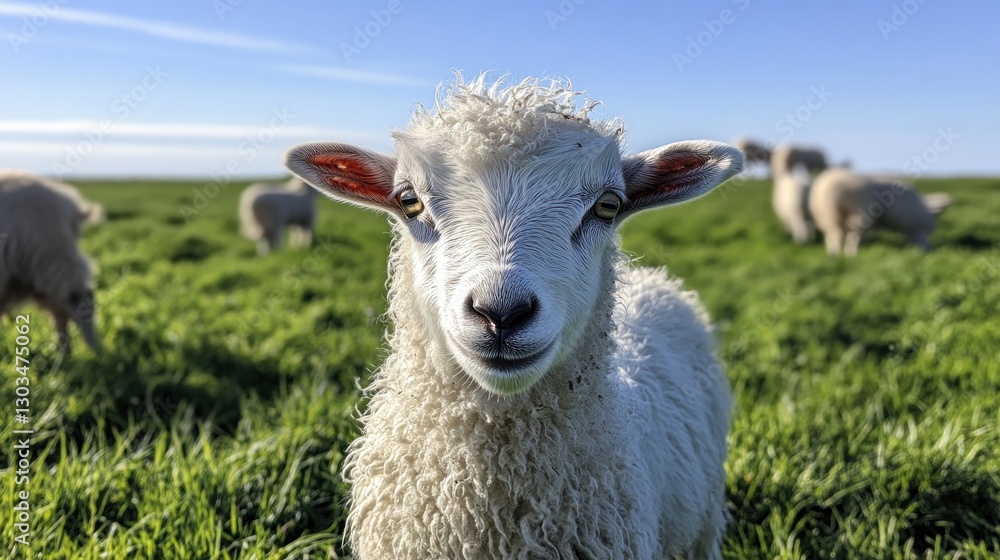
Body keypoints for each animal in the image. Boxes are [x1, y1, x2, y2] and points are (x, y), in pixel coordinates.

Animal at [0, 171, 101, 353]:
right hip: (34, 274)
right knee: (59, 308)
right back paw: (62, 353)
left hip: (52, 259)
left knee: (81, 301)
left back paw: (94, 351)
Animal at [808, 167, 953, 256]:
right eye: (928, 230)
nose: (929, 250)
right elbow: (856, 236)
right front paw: (853, 252)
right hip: (851, 215)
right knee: (840, 235)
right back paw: (847, 254)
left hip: (827, 217)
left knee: (831, 235)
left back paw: (833, 254)